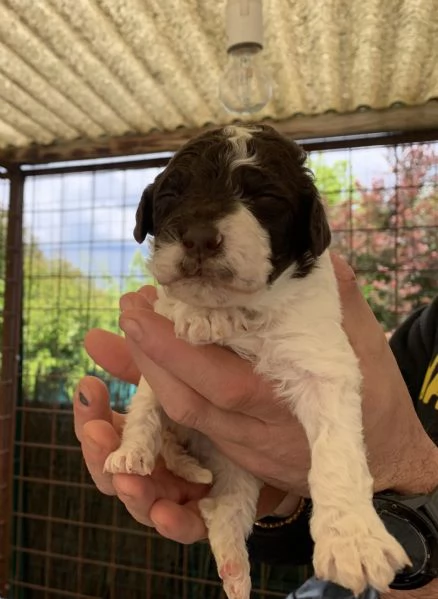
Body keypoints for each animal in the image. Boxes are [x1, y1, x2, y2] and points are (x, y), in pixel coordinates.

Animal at [103, 124, 410, 596]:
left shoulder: (322, 358)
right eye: (170, 195)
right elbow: (178, 310)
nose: (199, 237)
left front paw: (353, 539)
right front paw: (204, 316)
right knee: (148, 413)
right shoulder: (159, 330)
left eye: (265, 198)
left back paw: (235, 571)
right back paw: (134, 453)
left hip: (241, 467)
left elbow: (338, 452)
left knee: (227, 507)